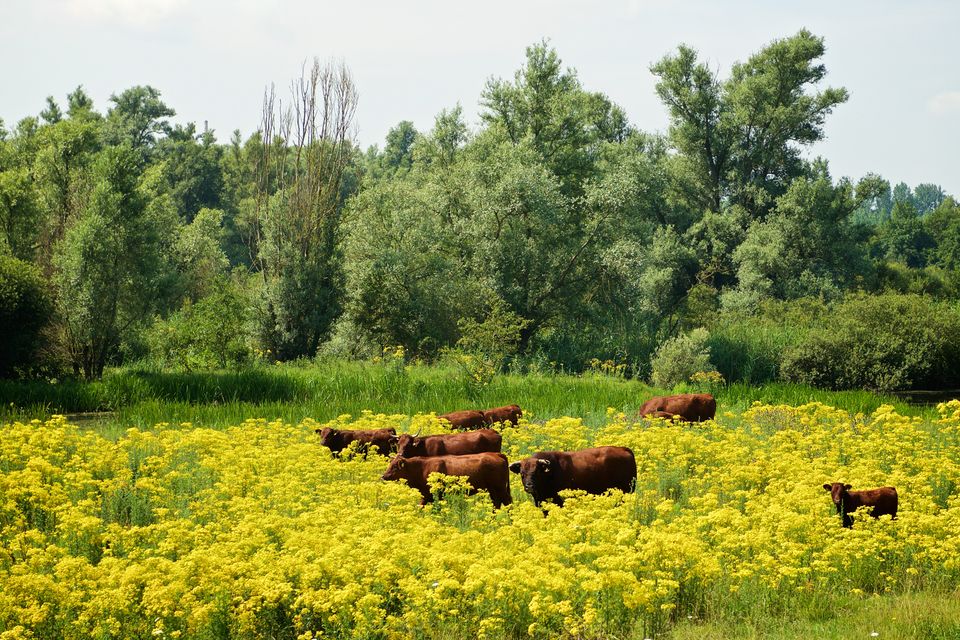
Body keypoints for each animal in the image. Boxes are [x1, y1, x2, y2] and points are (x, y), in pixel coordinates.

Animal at [381, 452, 512, 508]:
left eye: (394, 467)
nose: (383, 476)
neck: (422, 467)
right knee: (497, 503)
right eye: (390, 464)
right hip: (492, 489)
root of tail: (497, 454)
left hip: (499, 488)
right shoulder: (426, 495)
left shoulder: (433, 494)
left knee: (507, 501)